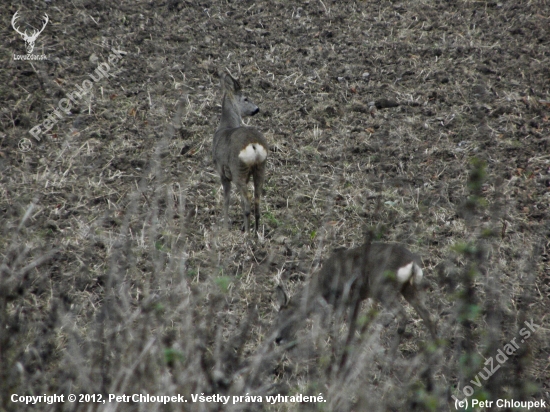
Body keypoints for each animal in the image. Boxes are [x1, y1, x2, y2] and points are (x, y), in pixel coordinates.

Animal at [213, 73, 270, 232]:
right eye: (246, 98)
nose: (257, 109)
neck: (225, 127)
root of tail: (253, 145)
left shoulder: (222, 172)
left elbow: (227, 200)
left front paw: (225, 227)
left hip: (237, 169)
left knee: (248, 198)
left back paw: (248, 233)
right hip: (260, 167)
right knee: (257, 197)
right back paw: (255, 231)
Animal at [276, 240, 440, 346]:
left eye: (285, 317)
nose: (278, 339)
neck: (321, 287)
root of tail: (412, 265)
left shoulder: (343, 298)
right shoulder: (355, 299)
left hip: (383, 287)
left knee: (403, 315)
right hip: (408, 289)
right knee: (429, 317)